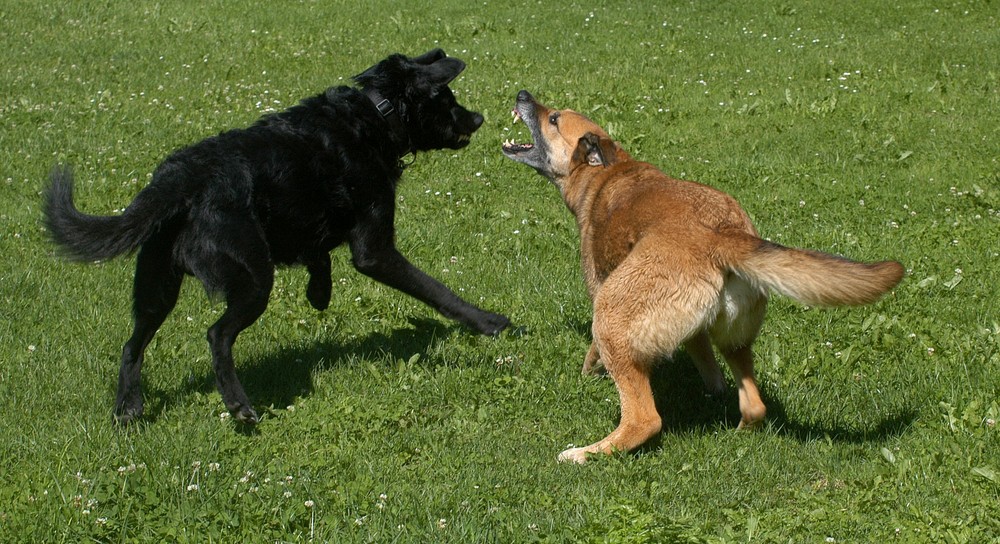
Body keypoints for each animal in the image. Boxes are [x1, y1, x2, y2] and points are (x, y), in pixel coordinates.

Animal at [41, 50, 508, 424]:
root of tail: (182, 177)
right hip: (251, 277)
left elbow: (319, 254)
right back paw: (239, 406)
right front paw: (486, 321)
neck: (375, 113)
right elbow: (436, 290)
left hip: (157, 285)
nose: (479, 118)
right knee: (217, 335)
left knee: (131, 344)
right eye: (448, 99)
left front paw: (318, 293)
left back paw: (128, 407)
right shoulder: (375, 250)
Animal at [504, 89, 904, 464]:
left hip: (611, 316)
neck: (604, 172)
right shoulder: (695, 332)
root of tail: (722, 235)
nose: (523, 95)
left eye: (553, 118)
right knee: (754, 405)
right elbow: (706, 363)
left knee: (645, 420)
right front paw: (713, 390)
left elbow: (591, 352)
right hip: (735, 338)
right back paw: (739, 429)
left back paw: (585, 453)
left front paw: (588, 373)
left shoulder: (599, 288)